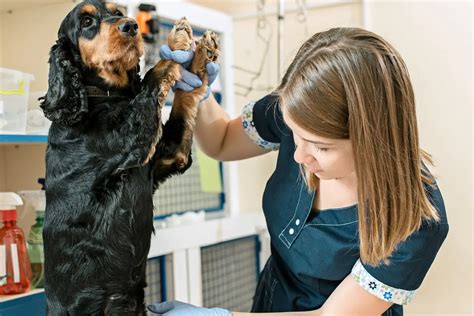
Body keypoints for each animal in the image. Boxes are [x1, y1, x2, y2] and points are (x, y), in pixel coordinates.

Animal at [40, 1, 218, 314]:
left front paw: (200, 56)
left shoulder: (172, 153)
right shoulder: (134, 137)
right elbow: (152, 77)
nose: (131, 26)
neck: (103, 96)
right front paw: (177, 41)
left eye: (117, 12)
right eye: (87, 22)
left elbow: (183, 103)